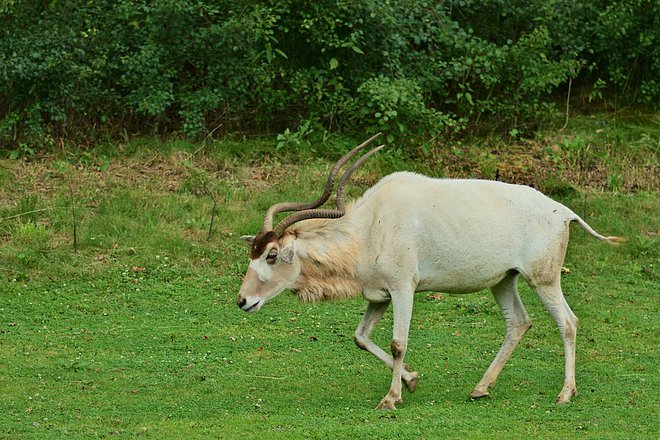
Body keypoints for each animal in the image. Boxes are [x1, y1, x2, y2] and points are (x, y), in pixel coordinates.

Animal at [238, 133, 624, 410]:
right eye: (254, 250)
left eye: (272, 255)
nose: (243, 301)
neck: (370, 226)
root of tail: (562, 211)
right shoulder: (379, 296)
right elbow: (361, 337)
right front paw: (410, 381)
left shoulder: (403, 288)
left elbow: (397, 343)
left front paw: (391, 398)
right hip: (503, 280)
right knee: (519, 322)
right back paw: (480, 389)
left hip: (543, 278)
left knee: (568, 323)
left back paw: (565, 394)